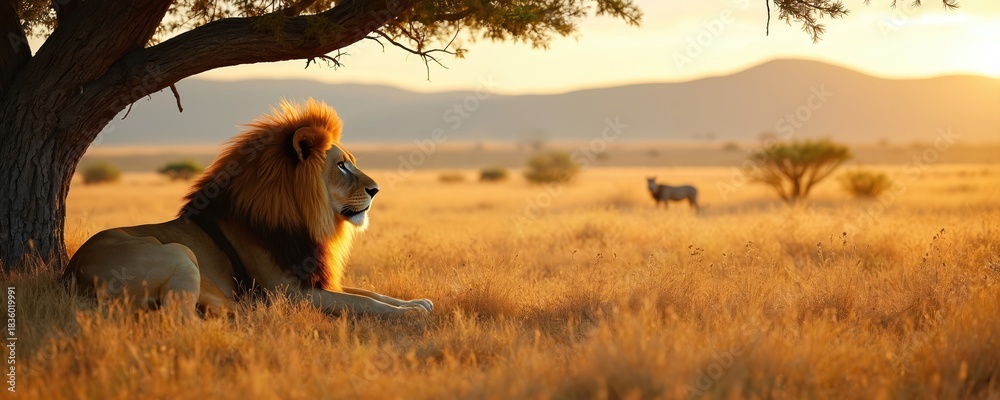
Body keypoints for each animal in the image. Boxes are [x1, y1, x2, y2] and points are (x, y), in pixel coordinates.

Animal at [63, 98, 432, 318]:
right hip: (180, 252)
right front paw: (412, 314)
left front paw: (418, 302)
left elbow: (370, 292)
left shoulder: (315, 282)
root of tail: (72, 274)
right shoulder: (291, 292)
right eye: (341, 165)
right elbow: (363, 301)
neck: (303, 220)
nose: (376, 190)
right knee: (178, 320)